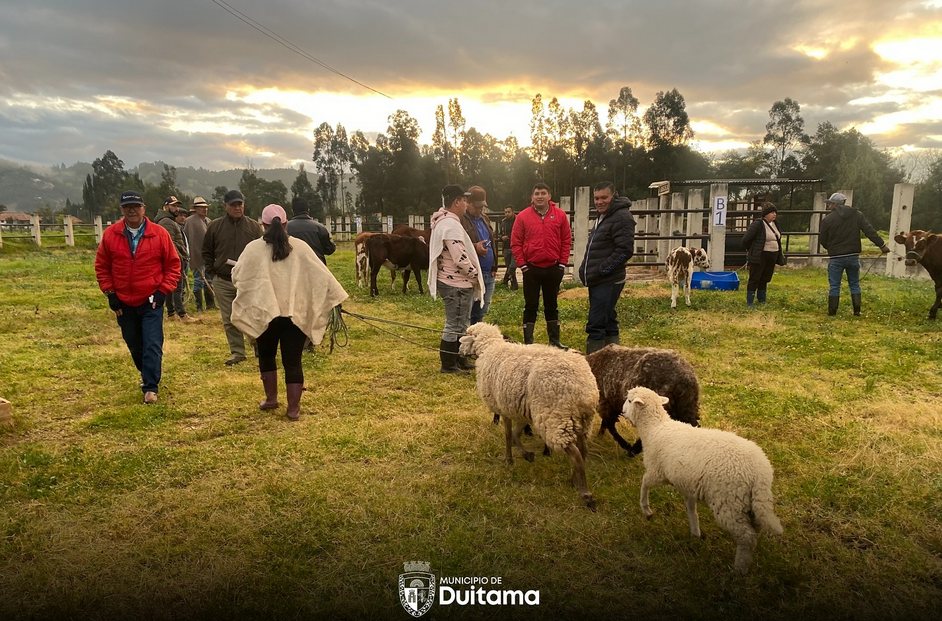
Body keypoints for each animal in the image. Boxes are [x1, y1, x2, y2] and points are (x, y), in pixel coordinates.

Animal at [459, 322, 600, 510]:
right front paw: (527, 455)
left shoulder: (504, 406)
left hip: (555, 418)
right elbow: (516, 433)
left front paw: (509, 459)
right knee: (583, 450)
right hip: (581, 420)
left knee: (576, 454)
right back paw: (574, 480)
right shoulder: (522, 410)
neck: (490, 348)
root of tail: (584, 389)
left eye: (466, 338)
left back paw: (585, 494)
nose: (459, 351)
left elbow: (508, 434)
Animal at [622, 387, 783, 574]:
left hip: (729, 502)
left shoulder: (658, 472)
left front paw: (646, 509)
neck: (655, 428)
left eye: (630, 401)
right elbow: (691, 509)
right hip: (752, 503)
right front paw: (695, 532)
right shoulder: (688, 485)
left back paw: (739, 569)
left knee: (747, 536)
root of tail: (761, 474)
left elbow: (644, 483)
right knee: (755, 530)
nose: (622, 411)